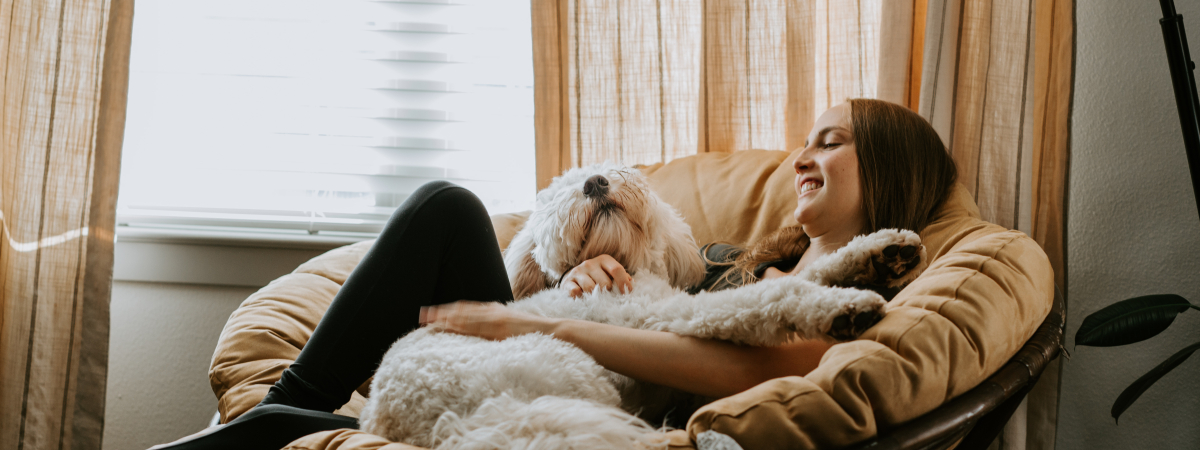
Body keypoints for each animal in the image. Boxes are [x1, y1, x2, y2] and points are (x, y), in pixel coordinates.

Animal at [357, 164, 926, 448]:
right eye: (560, 192)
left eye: (607, 169)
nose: (594, 183)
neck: (624, 265)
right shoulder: (673, 316)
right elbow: (771, 294)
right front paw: (845, 306)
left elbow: (813, 269)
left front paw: (883, 250)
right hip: (571, 375)